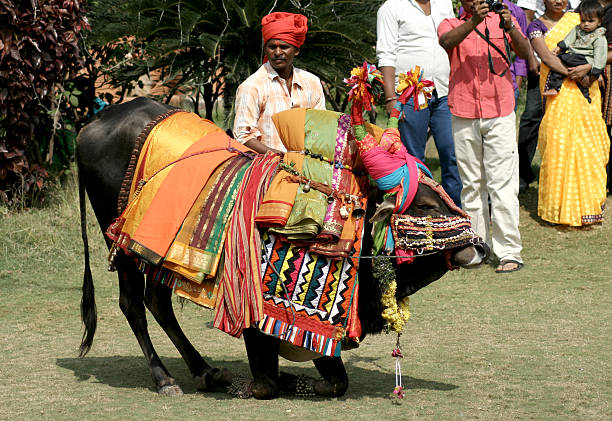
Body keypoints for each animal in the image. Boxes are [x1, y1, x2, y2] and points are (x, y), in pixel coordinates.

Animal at [75, 93, 488, 398]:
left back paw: (204, 370)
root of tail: (91, 124)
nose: (481, 247)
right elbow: (267, 384)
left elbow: (338, 382)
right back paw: (164, 378)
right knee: (133, 305)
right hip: (122, 248)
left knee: (157, 302)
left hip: (154, 258)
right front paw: (280, 382)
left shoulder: (321, 329)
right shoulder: (258, 311)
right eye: (424, 205)